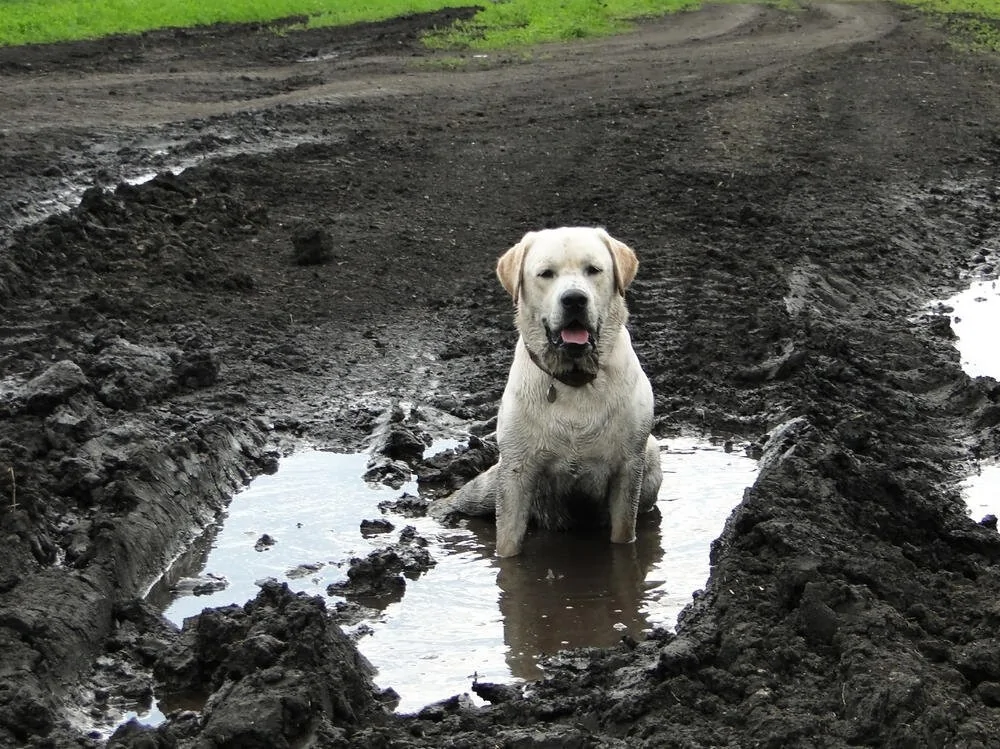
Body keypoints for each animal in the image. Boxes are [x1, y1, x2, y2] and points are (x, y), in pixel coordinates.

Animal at [432, 226, 660, 556]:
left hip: (652, 459)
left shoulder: (628, 468)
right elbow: (507, 544)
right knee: (467, 496)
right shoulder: (516, 471)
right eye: (546, 273)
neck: (574, 377)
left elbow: (622, 535)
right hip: (491, 480)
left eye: (593, 270)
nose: (574, 299)